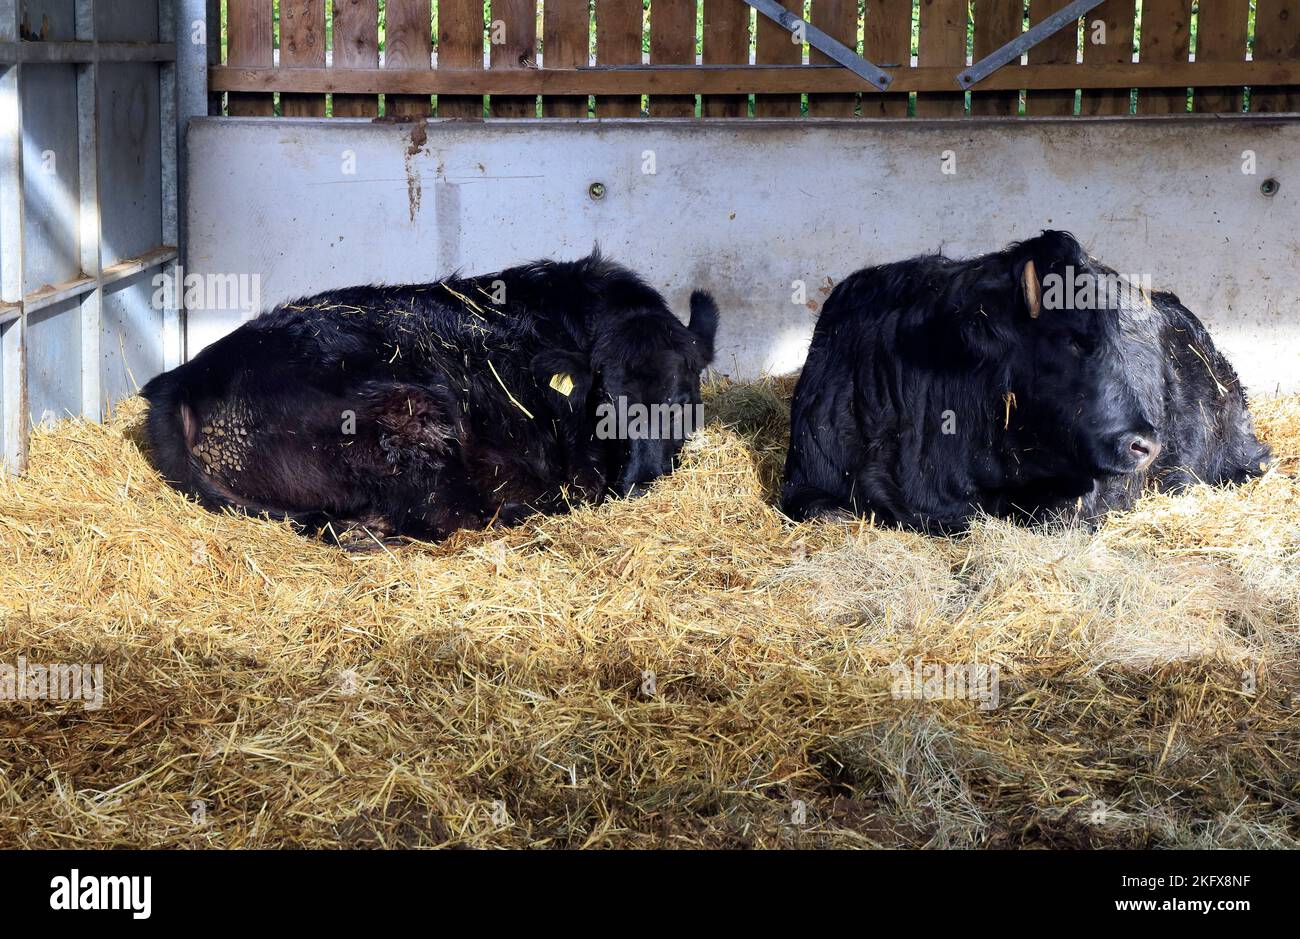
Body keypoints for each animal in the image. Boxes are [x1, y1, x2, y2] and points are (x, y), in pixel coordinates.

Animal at [142, 252, 722, 538]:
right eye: (607, 402)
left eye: (683, 400)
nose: (640, 482)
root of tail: (181, 382)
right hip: (406, 420)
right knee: (440, 518)